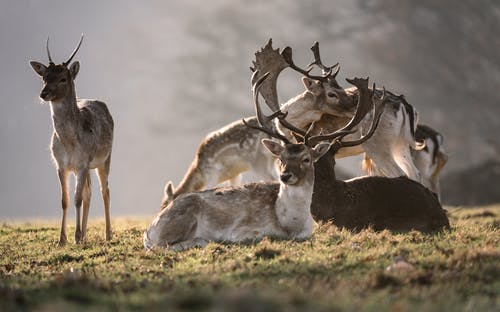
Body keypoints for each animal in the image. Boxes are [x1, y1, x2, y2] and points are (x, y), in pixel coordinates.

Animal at [30, 36, 114, 245]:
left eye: (63, 79)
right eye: (44, 77)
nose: (44, 94)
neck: (69, 143)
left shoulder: (84, 163)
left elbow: (77, 199)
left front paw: (74, 237)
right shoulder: (61, 165)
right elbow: (65, 200)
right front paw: (62, 239)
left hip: (105, 159)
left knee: (105, 191)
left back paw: (107, 234)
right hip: (84, 168)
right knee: (89, 193)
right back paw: (84, 235)